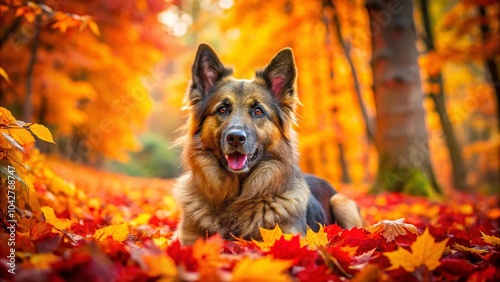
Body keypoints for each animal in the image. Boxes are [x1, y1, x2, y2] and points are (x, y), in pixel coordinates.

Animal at [172, 43, 364, 245]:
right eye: (222, 109)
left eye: (258, 111)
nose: (235, 138)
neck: (236, 196)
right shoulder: (187, 239)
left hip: (342, 203)